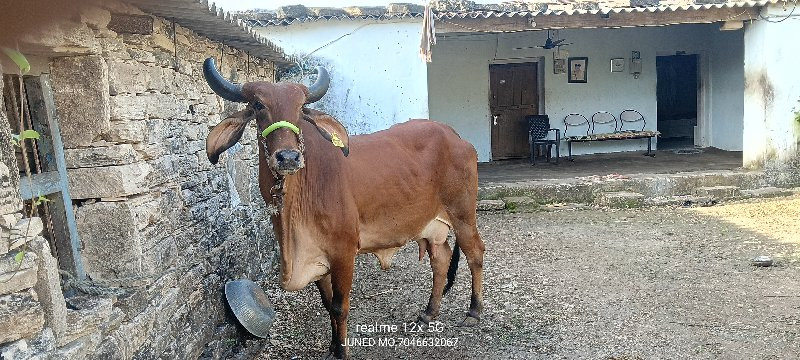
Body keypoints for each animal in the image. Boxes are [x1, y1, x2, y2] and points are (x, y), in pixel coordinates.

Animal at [203, 57, 484, 358]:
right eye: (257, 105)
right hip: (432, 226)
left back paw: (474, 312)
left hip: (463, 214)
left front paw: (342, 351)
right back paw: (429, 313)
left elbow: (340, 307)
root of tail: (455, 135)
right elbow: (328, 306)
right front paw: (331, 347)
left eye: (301, 108)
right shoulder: (318, 257)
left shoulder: (344, 253)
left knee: (475, 253)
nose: (288, 157)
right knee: (440, 259)